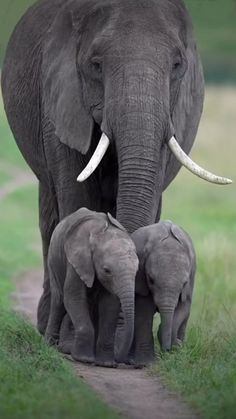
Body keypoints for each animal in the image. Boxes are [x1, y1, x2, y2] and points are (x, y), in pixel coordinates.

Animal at [0, 0, 230, 334]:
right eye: (96, 65)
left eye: (177, 65)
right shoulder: (59, 99)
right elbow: (77, 197)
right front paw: (74, 338)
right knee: (50, 210)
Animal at [45, 208, 138, 366]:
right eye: (107, 270)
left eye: (137, 270)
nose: (124, 361)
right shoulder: (77, 260)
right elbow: (74, 297)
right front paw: (84, 359)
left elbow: (110, 304)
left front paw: (106, 364)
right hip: (53, 259)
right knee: (59, 302)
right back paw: (49, 345)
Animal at [132, 220, 196, 358]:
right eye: (151, 279)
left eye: (184, 283)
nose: (166, 351)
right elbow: (144, 307)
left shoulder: (191, 277)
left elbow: (183, 308)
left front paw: (176, 347)